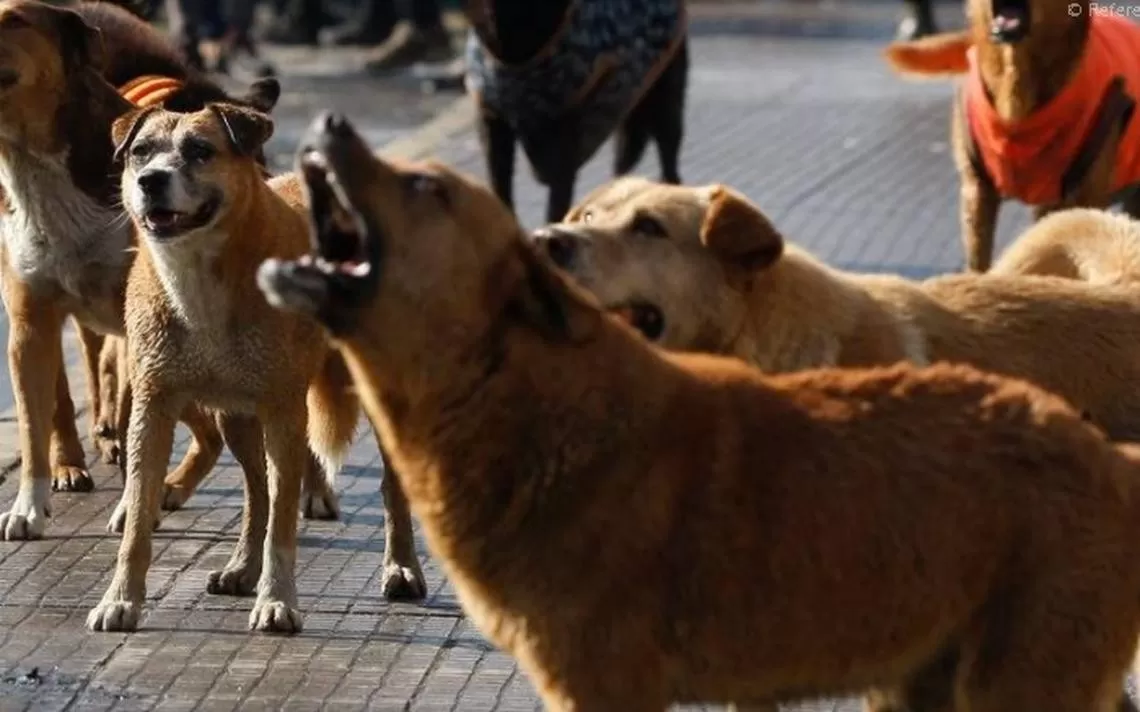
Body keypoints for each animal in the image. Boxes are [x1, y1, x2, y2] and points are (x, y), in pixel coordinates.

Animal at [87, 101, 428, 633]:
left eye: (200, 151)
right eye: (140, 151)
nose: (150, 180)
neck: (201, 281)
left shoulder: (283, 411)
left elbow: (283, 522)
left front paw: (277, 602)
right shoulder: (153, 406)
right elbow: (141, 512)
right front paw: (120, 599)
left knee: (387, 486)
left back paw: (402, 568)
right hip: (236, 416)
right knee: (257, 493)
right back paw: (241, 569)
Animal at [460, 0, 684, 222]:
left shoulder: (563, 136)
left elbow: (554, 208)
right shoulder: (492, 124)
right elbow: (500, 192)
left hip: (665, 105)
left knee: (668, 166)